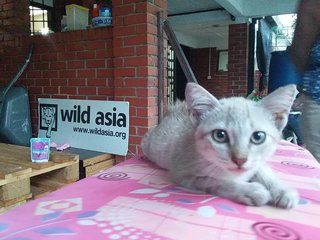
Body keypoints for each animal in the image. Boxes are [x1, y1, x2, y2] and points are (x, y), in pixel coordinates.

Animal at [141, 82, 298, 208]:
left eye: (258, 137)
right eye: (220, 135)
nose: (240, 160)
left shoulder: (257, 163)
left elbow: (263, 171)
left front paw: (282, 190)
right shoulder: (183, 174)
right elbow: (218, 181)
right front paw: (252, 191)